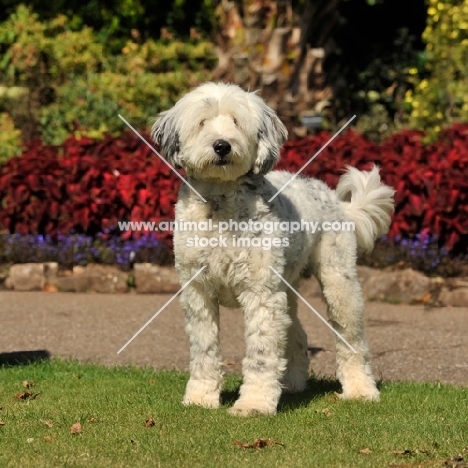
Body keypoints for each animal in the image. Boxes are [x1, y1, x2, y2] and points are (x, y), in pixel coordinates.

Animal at [152, 82, 394, 414]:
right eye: (202, 122)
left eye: (237, 121)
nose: (222, 146)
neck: (221, 207)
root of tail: (334, 197)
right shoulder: (198, 292)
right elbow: (204, 349)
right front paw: (201, 397)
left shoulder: (261, 293)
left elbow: (261, 351)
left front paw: (253, 403)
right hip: (287, 287)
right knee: (297, 334)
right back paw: (291, 383)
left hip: (339, 283)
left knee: (351, 339)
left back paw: (360, 389)